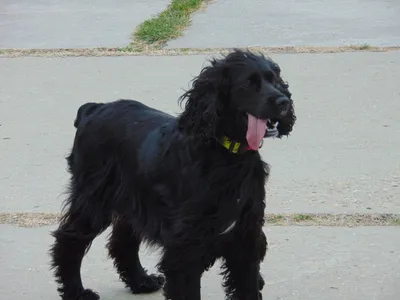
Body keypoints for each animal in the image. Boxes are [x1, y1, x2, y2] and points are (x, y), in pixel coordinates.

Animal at [49, 49, 294, 300]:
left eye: (275, 80)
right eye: (248, 83)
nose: (284, 102)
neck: (227, 157)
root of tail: (94, 108)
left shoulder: (246, 237)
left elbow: (248, 287)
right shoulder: (185, 248)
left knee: (122, 241)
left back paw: (141, 281)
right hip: (93, 199)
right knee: (69, 240)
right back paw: (77, 292)